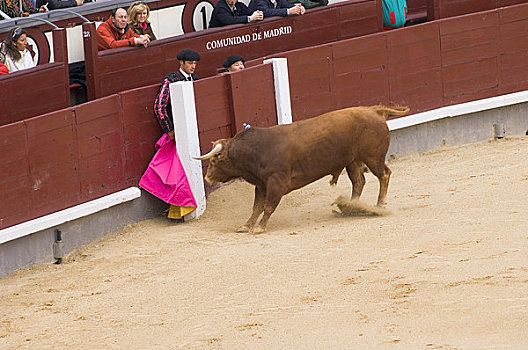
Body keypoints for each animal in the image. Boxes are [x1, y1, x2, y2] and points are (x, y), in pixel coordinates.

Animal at [196, 105, 410, 234]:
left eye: (214, 160)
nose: (207, 179)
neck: (257, 150)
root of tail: (374, 110)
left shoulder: (276, 183)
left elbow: (268, 206)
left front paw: (260, 228)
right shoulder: (261, 185)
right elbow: (256, 207)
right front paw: (246, 225)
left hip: (372, 157)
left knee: (384, 175)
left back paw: (379, 205)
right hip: (353, 160)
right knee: (359, 182)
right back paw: (352, 207)